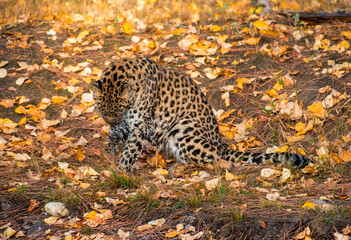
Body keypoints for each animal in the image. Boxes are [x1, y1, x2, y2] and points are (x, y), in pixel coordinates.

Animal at [94, 57, 310, 172]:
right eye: (102, 108)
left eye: (118, 108)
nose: (110, 121)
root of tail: (220, 144)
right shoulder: (127, 122)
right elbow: (117, 133)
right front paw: (112, 146)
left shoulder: (142, 124)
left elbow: (131, 148)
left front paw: (122, 170)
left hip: (183, 128)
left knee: (211, 159)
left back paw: (177, 169)